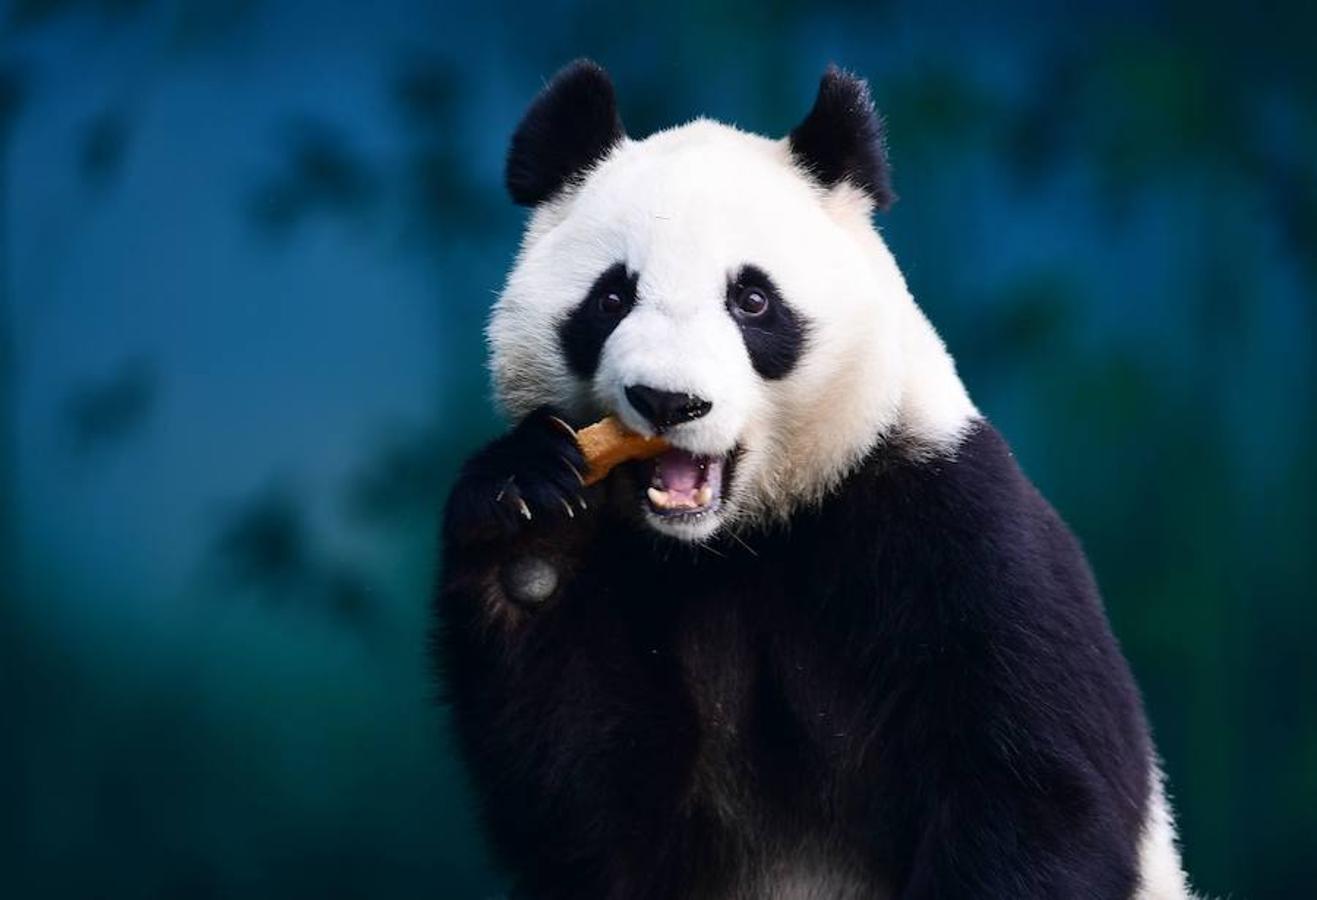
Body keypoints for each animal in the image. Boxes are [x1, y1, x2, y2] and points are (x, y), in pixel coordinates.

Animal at [437, 59, 1201, 896]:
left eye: (751, 300)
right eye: (610, 297)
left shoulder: (946, 524)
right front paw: (529, 527)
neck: (734, 541)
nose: (668, 401)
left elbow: (1033, 787)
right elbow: (585, 796)